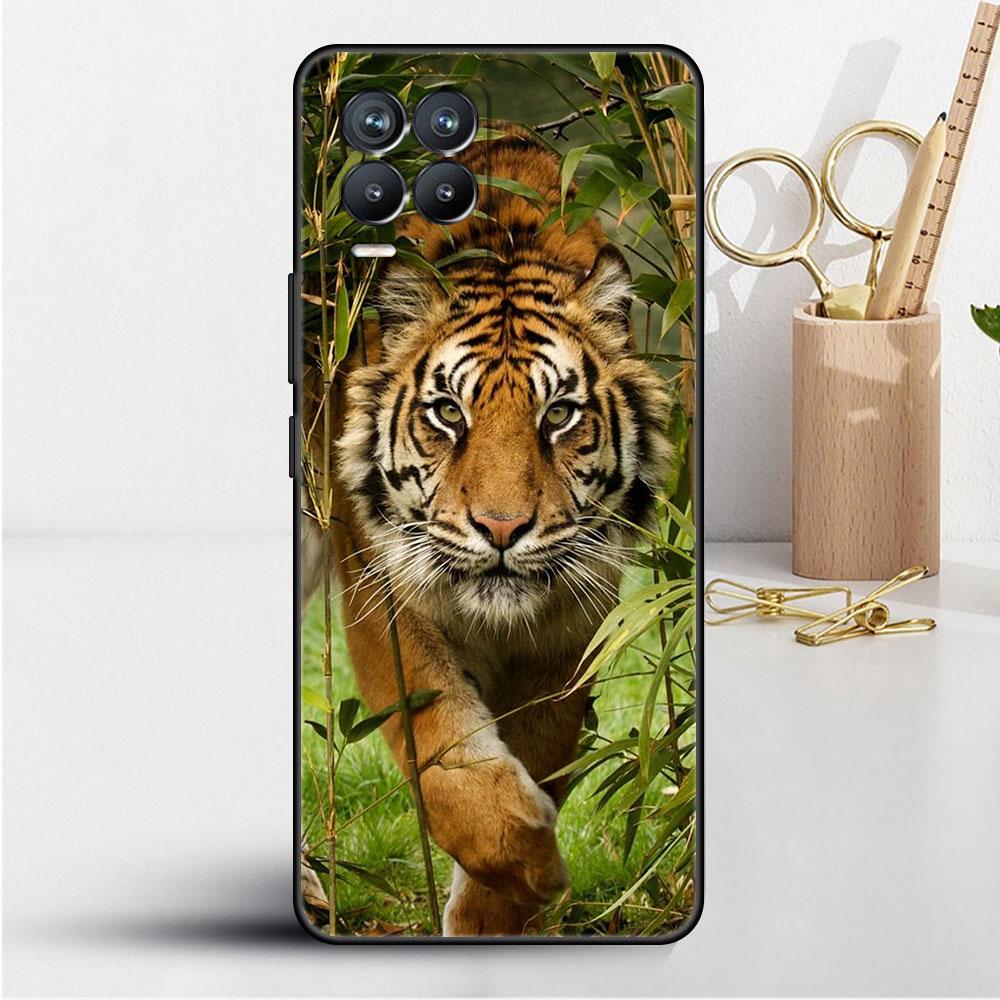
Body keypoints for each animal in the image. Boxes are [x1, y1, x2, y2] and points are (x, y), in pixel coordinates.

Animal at [302, 126, 672, 936]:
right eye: (448, 412)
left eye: (558, 414)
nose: (502, 529)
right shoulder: (383, 594)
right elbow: (442, 751)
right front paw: (530, 865)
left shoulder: (574, 622)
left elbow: (538, 744)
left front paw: (500, 908)